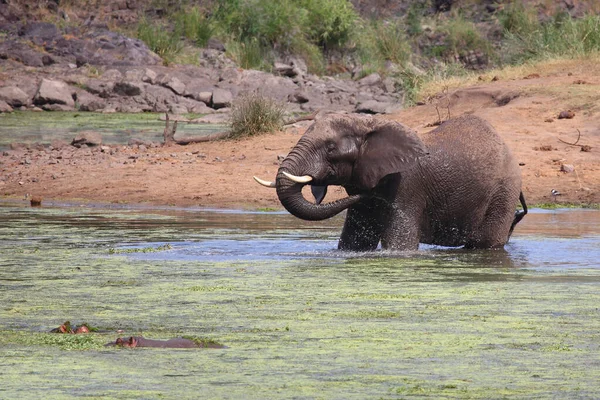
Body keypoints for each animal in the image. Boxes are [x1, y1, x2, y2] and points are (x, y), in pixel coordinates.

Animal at [255, 113, 528, 250]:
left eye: (330, 148)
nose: (366, 194)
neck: (367, 125)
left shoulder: (407, 186)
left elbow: (399, 245)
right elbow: (353, 241)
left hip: (503, 192)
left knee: (485, 244)